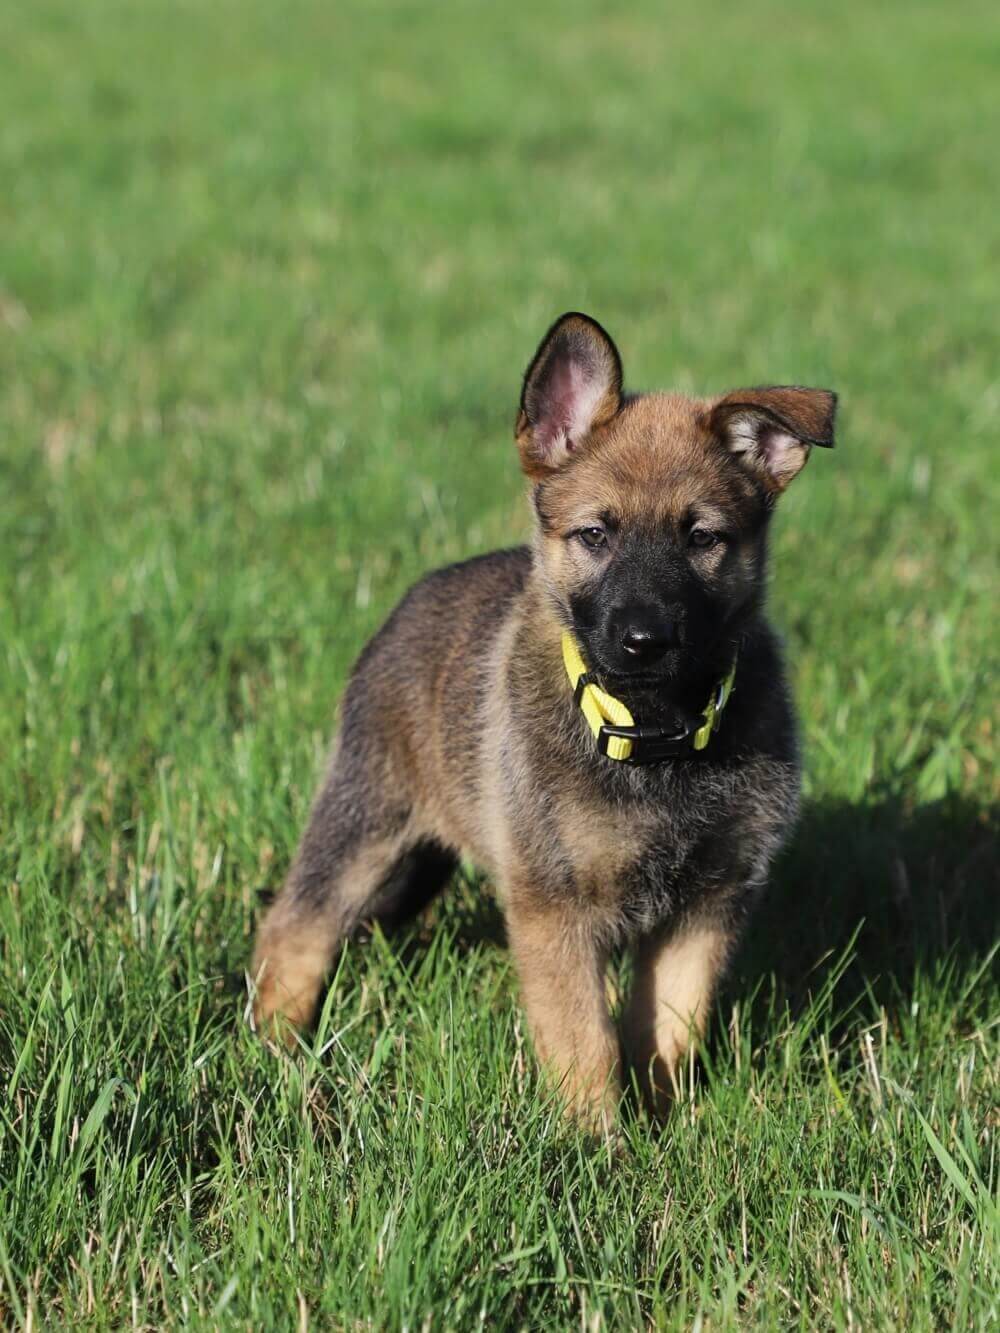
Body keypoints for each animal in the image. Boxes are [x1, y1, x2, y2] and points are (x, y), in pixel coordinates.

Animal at [252, 314, 837, 1125]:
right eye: (595, 534)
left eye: (702, 538)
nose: (644, 640)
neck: (655, 737)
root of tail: (408, 603)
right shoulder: (554, 906)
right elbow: (583, 1043)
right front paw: (595, 1140)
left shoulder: (706, 907)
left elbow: (667, 1030)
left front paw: (662, 1124)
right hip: (364, 820)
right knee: (293, 924)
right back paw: (275, 1045)